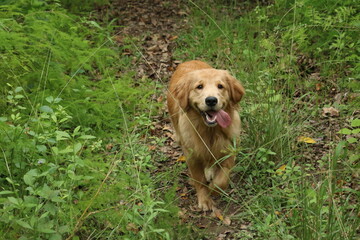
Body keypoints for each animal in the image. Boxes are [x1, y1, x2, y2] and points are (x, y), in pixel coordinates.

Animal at [167, 60, 245, 210]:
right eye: (199, 87)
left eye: (220, 86)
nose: (211, 100)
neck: (209, 132)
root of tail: (189, 61)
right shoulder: (192, 156)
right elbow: (200, 180)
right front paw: (204, 199)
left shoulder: (229, 150)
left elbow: (222, 178)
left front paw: (214, 190)